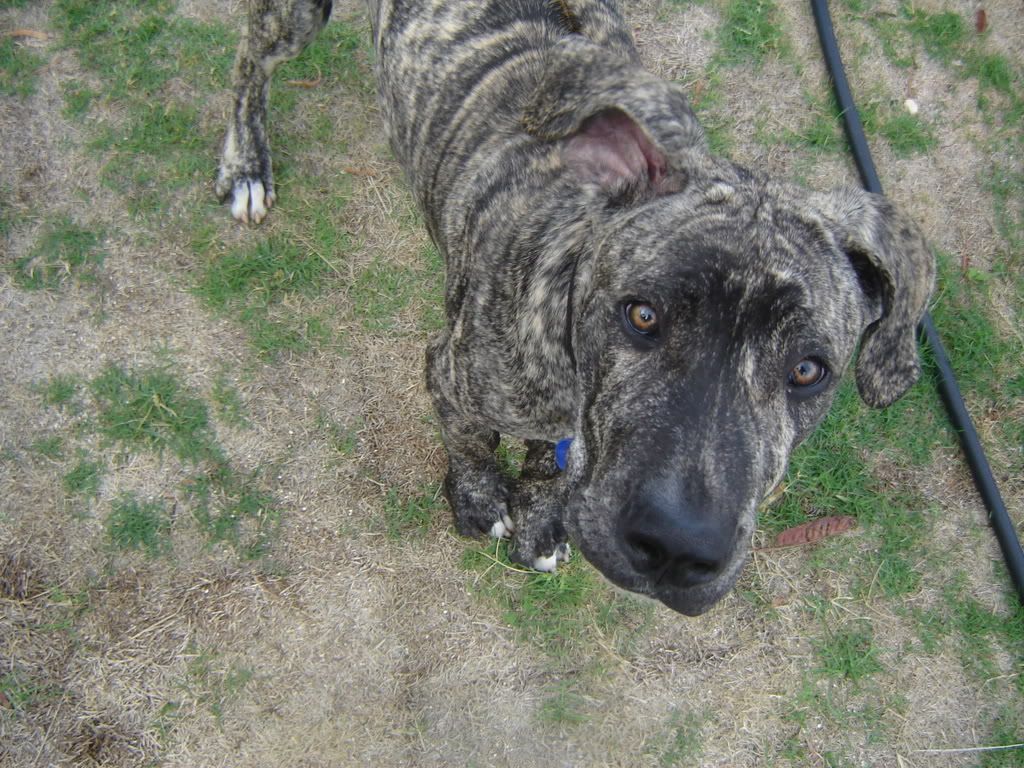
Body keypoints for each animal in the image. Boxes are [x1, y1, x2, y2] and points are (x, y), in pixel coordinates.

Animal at [216, 0, 937, 614]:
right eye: (641, 315)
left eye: (808, 371)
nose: (677, 550)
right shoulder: (449, 375)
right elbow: (472, 443)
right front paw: (479, 500)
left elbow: (547, 466)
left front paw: (539, 521)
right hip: (295, 19)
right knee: (250, 59)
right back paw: (246, 163)